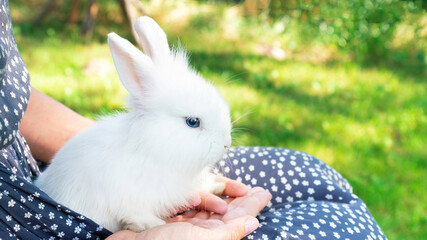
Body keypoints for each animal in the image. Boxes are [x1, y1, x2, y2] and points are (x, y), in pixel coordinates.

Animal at [35, 16, 232, 232]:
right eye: (193, 122)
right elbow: (136, 215)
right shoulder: (129, 200)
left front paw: (217, 186)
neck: (152, 149)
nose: (227, 144)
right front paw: (153, 225)